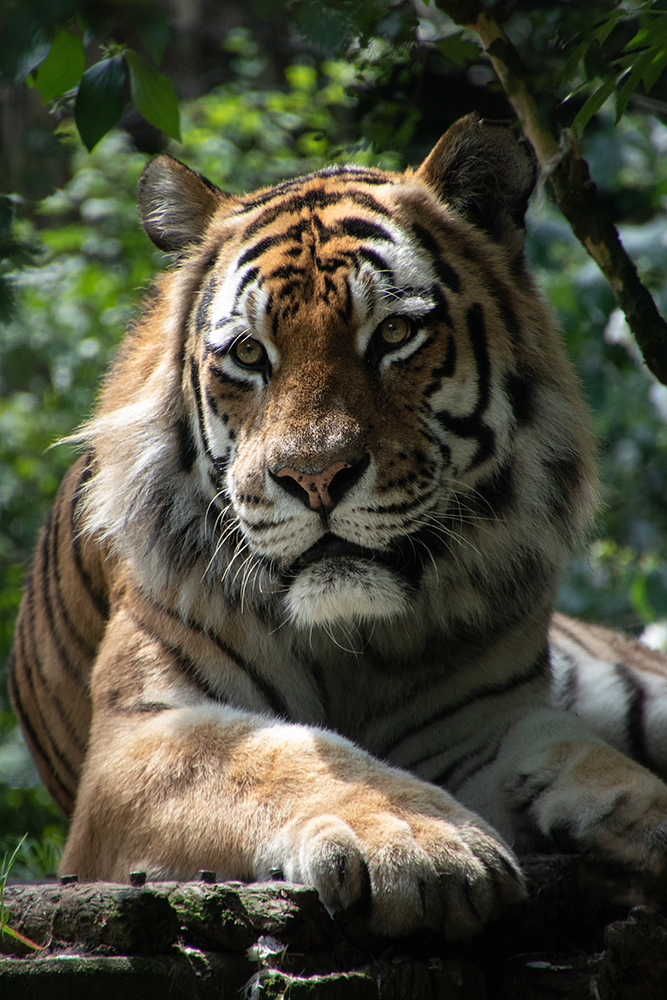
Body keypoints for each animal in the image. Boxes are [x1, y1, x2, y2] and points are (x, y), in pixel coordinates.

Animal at [7, 113, 667, 940]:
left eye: (392, 335)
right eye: (249, 353)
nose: (314, 477)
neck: (355, 641)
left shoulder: (483, 722)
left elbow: (583, 755)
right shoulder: (140, 739)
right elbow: (282, 756)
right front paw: (420, 841)